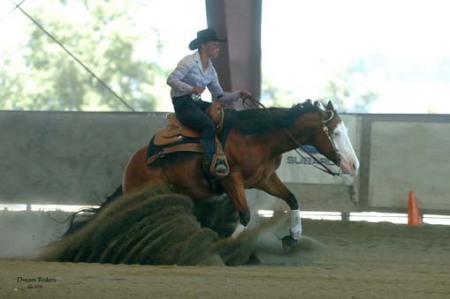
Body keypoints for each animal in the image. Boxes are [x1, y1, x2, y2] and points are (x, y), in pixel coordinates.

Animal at [120, 99, 358, 247]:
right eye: (336, 133)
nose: (354, 165)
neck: (257, 138)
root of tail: (135, 160)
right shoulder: (231, 179)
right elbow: (245, 215)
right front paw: (226, 247)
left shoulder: (265, 178)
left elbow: (292, 199)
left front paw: (293, 237)